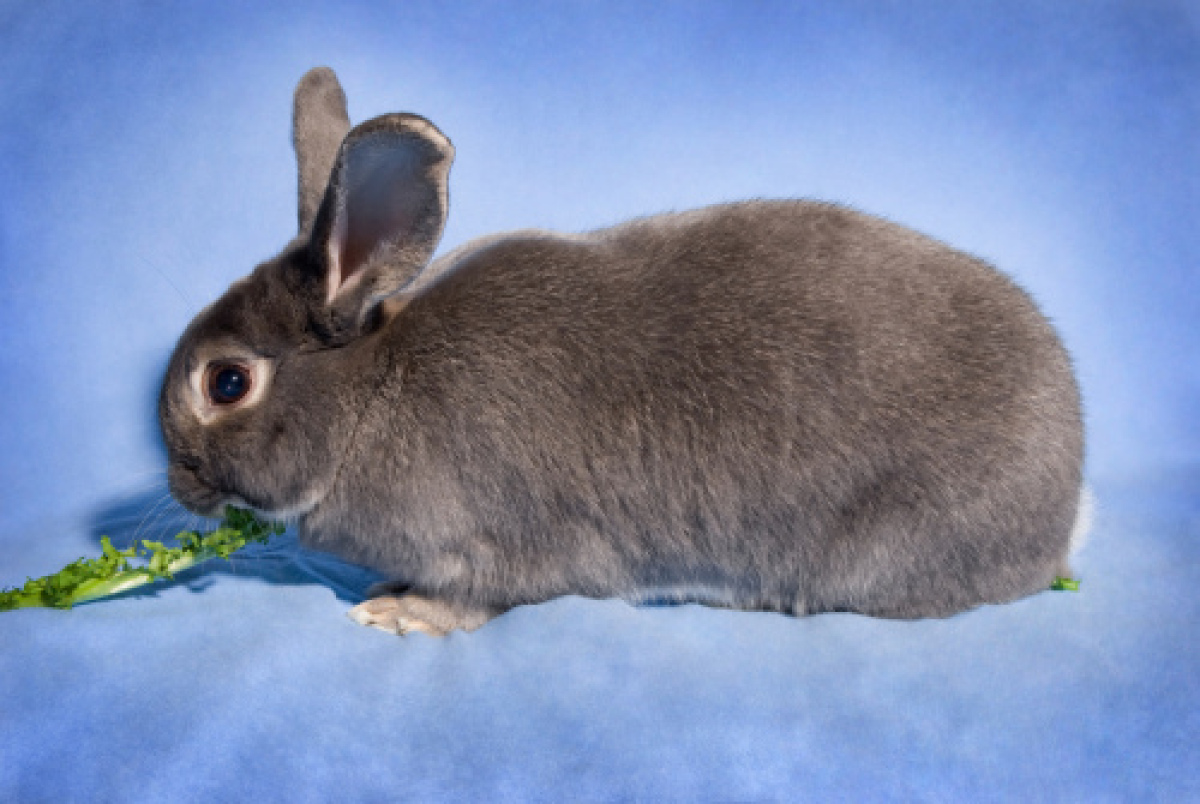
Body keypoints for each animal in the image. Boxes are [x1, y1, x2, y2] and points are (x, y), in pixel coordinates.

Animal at [159, 66, 1087, 636]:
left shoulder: (497, 548)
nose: (177, 483)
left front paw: (401, 615)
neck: (367, 397)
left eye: (228, 381)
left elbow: (478, 598)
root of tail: (1067, 498)